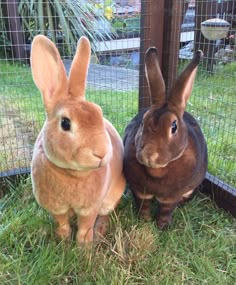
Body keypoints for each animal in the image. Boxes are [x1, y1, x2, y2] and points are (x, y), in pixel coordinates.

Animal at [30, 35, 126, 244]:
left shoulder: (90, 208)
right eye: (65, 123)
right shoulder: (56, 207)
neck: (71, 173)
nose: (102, 153)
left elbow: (84, 228)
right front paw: (63, 242)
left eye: (99, 113)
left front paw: (84, 247)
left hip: (111, 197)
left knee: (105, 214)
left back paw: (100, 230)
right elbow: (62, 224)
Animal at [122, 47, 207, 227]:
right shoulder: (140, 190)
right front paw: (144, 220)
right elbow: (143, 205)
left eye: (173, 127)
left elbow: (167, 209)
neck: (157, 171)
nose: (148, 154)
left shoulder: (171, 196)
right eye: (143, 121)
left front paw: (163, 226)